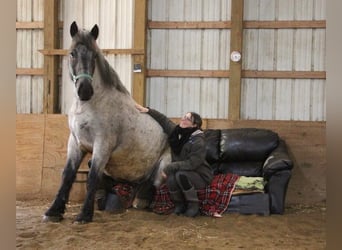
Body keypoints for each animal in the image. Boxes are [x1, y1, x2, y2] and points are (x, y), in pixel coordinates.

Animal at [43, 21, 170, 224]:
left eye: (94, 55)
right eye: (72, 53)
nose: (85, 91)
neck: (89, 106)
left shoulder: (102, 145)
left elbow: (93, 177)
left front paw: (84, 215)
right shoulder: (75, 143)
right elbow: (67, 175)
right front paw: (54, 211)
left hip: (163, 167)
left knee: (155, 185)